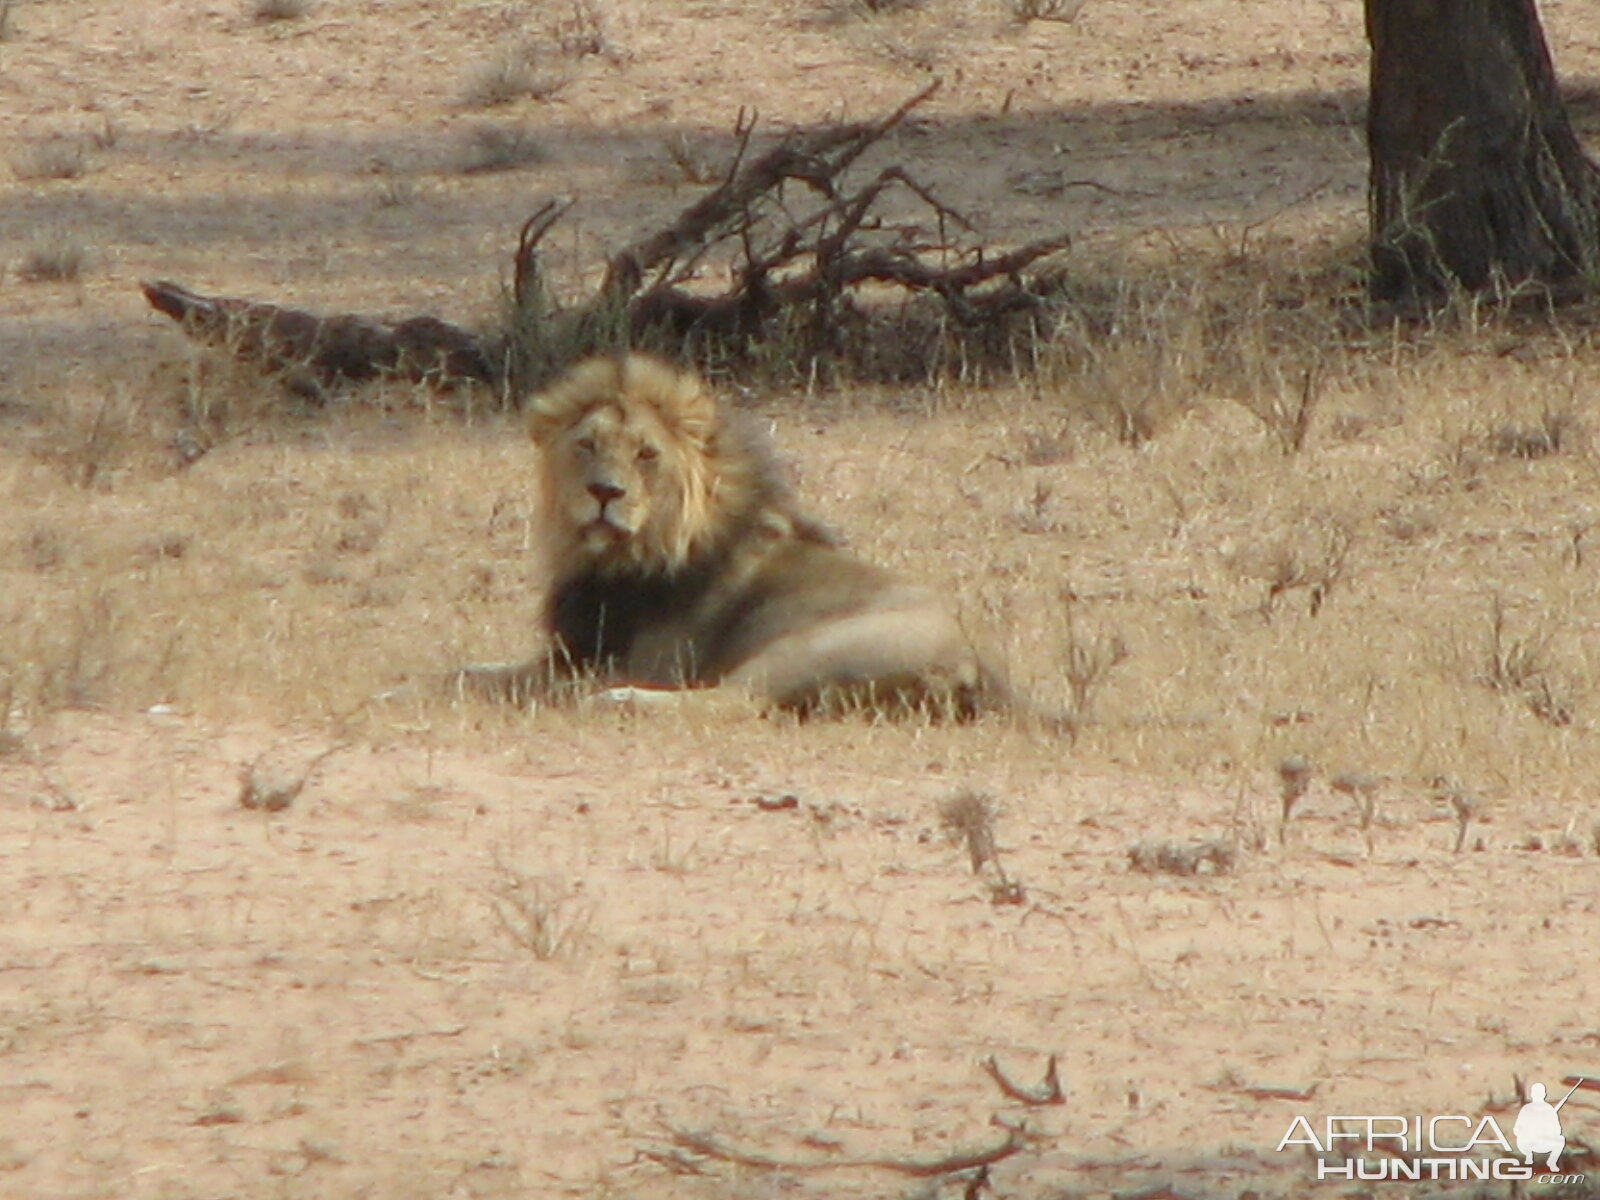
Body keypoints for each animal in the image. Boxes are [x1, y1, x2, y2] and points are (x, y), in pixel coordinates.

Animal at [460, 352, 1011, 720]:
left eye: (646, 453)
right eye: (586, 445)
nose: (604, 491)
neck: (611, 560)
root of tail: (976, 667)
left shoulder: (624, 662)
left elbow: (508, 682)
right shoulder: (570, 651)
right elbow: (474, 671)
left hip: (806, 648)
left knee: (734, 702)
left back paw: (617, 700)